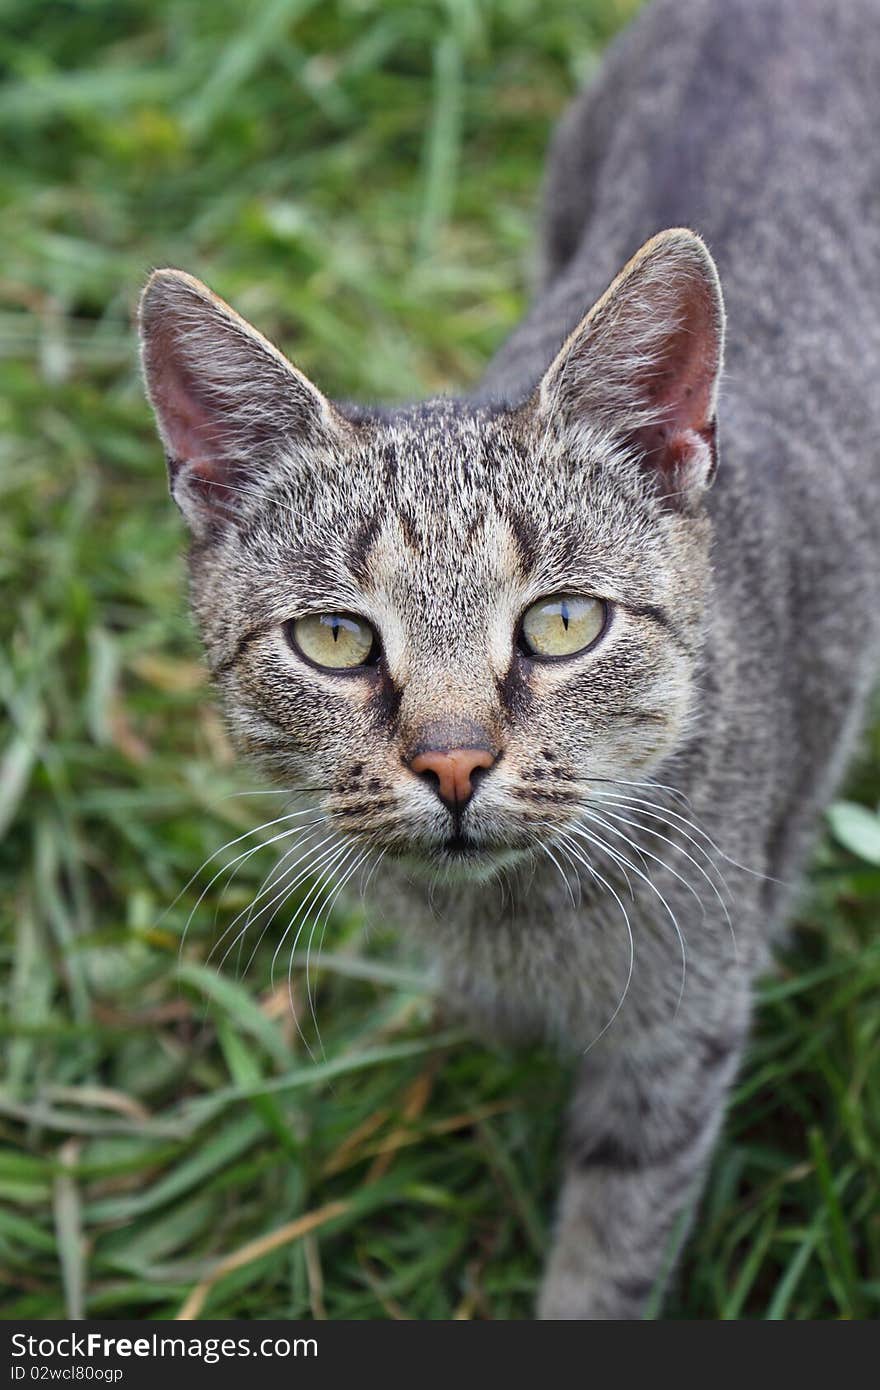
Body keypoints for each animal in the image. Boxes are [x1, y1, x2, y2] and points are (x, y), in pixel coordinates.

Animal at [137, 0, 878, 1323]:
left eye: (562, 624)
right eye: (336, 639)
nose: (450, 764)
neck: (510, 924)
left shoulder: (678, 1045)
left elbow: (612, 1241)